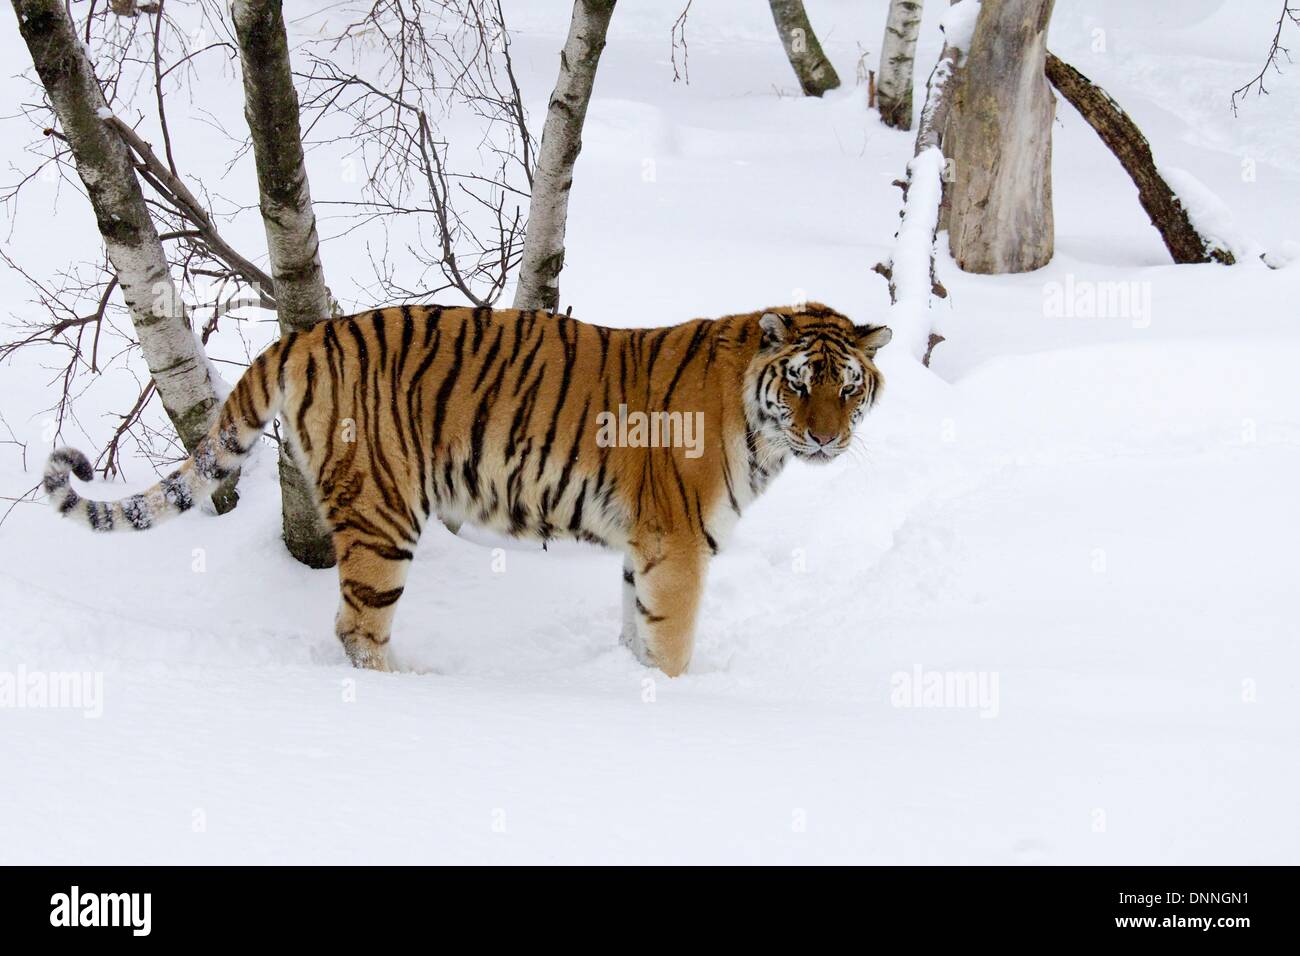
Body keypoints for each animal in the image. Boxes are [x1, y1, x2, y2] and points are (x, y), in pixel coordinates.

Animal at [43, 303, 894, 676]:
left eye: (848, 385)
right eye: (801, 383)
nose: (827, 437)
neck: (760, 424)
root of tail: (308, 333)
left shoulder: (644, 546)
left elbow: (637, 628)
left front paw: (631, 687)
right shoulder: (680, 544)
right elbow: (673, 641)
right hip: (384, 514)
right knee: (358, 629)